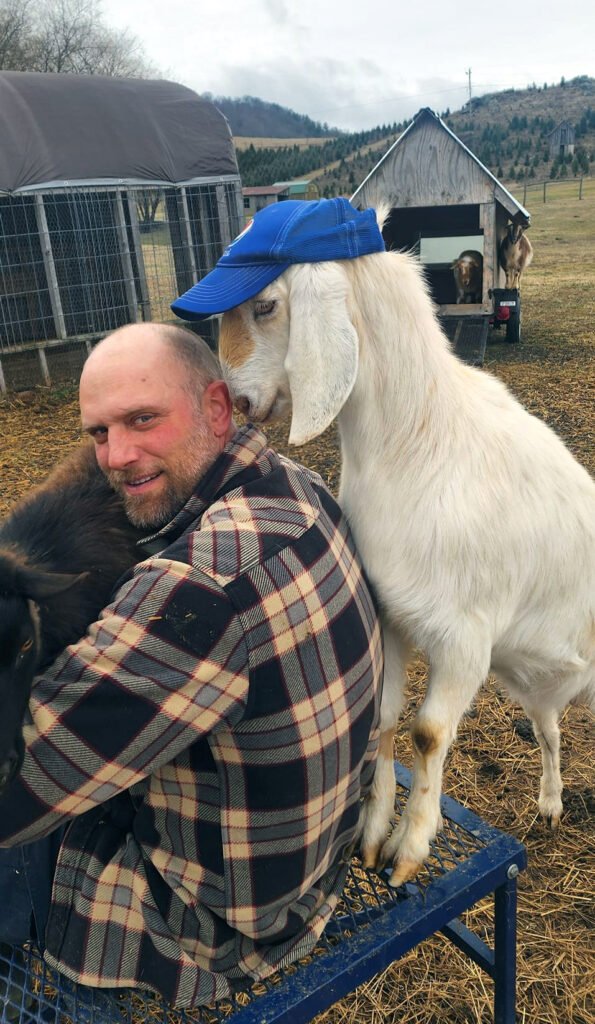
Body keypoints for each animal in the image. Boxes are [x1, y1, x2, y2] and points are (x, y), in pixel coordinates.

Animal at [217, 214, 595, 888]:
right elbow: (389, 718)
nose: (236, 401)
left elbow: (428, 734)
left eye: (265, 305)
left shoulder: (466, 639)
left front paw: (411, 847)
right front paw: (373, 837)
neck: (417, 442)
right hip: (539, 680)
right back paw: (551, 804)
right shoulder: (390, 614)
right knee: (549, 729)